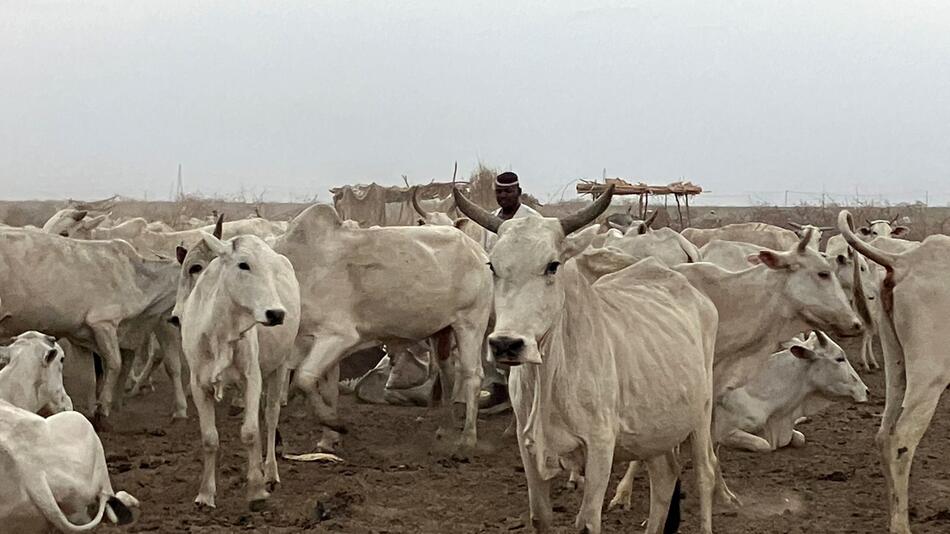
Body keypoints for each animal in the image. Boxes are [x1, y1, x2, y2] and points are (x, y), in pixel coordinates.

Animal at [174, 234, 302, 510]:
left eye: (271, 269)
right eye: (244, 265)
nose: (276, 313)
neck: (220, 331)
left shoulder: (252, 378)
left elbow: (250, 432)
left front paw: (256, 489)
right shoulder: (198, 384)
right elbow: (210, 438)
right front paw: (205, 494)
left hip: (279, 366)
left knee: (270, 416)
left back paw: (269, 473)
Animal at [460, 187, 720, 534]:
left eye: (553, 265)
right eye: (492, 266)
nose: (506, 344)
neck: (552, 375)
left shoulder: (600, 446)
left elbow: (586, 522)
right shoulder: (528, 448)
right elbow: (539, 517)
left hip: (701, 412)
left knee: (705, 473)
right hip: (656, 429)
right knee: (665, 475)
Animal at [836, 213, 948, 534]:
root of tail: (903, 262)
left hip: (896, 363)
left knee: (884, 434)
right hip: (929, 374)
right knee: (902, 439)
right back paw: (901, 525)